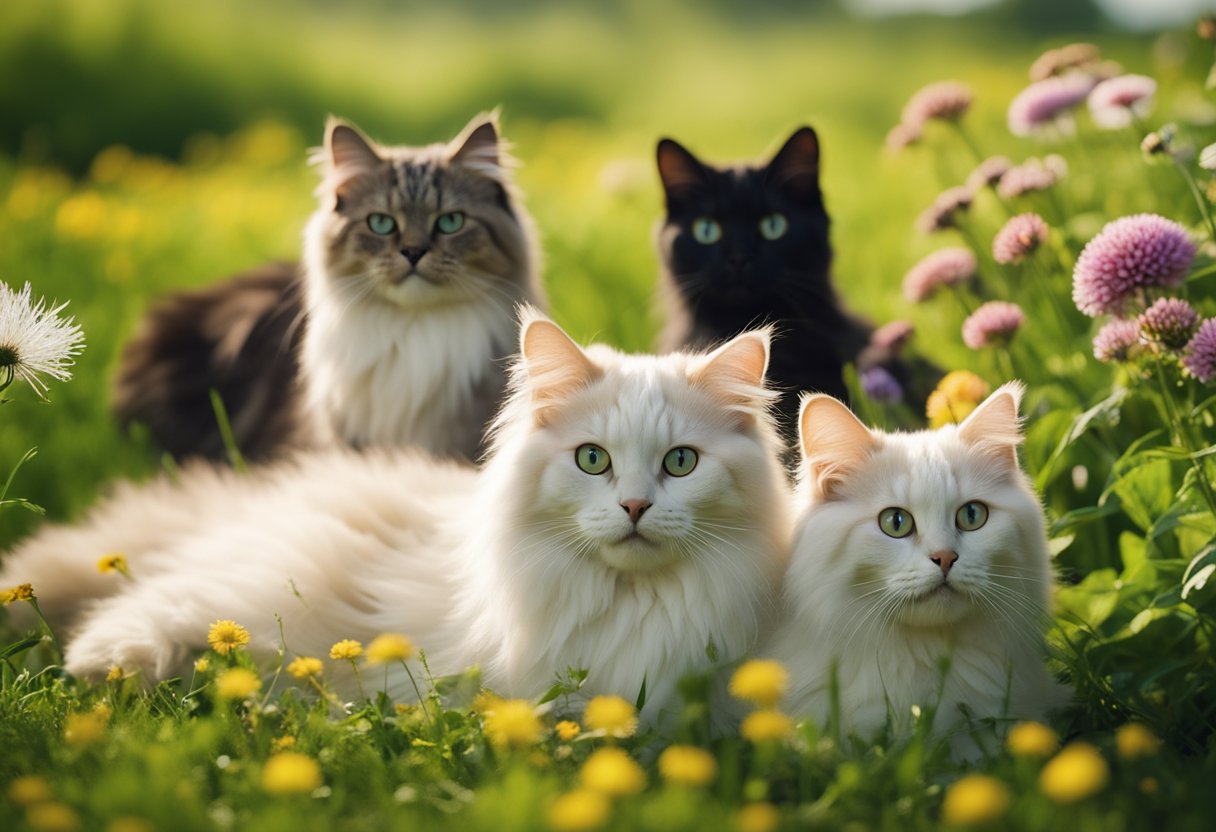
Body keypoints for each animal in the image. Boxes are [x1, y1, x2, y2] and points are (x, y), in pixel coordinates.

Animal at [4, 311, 792, 729]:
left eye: (681, 463)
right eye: (592, 460)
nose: (633, 507)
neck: (633, 606)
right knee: (134, 616)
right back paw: (101, 670)